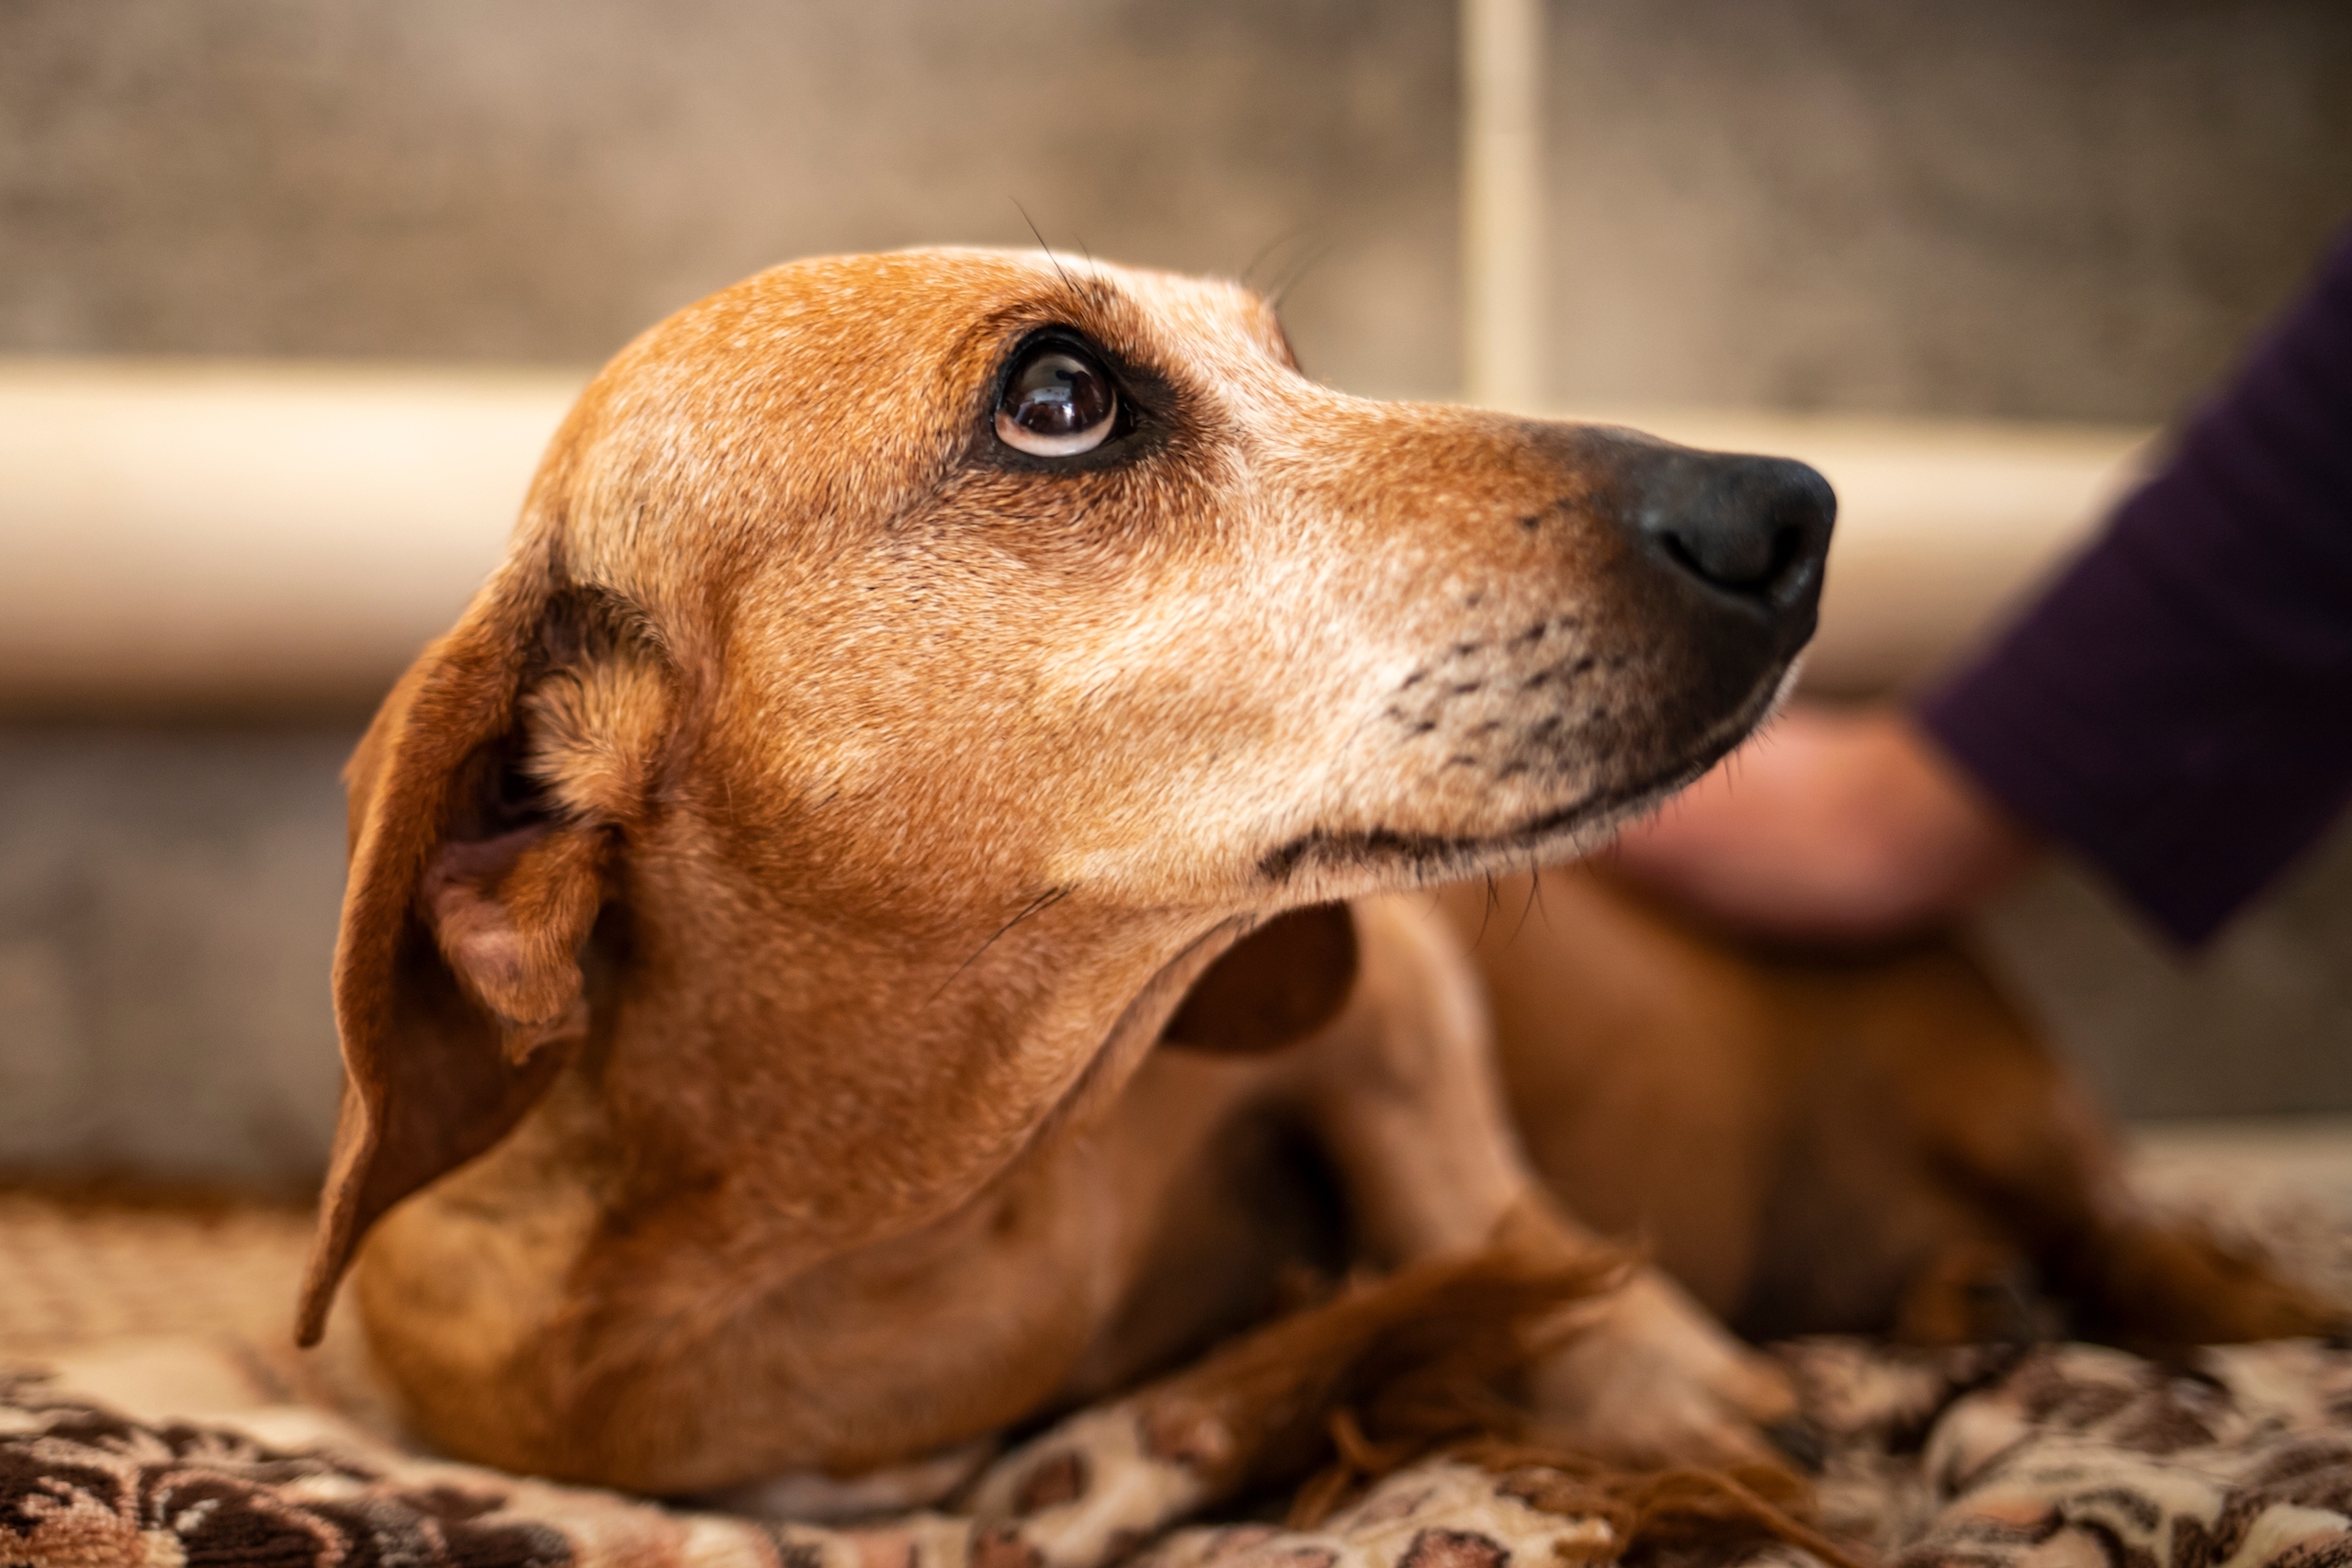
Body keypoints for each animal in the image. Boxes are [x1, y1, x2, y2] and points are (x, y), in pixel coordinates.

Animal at [299, 251, 2333, 1504]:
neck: (896, 1200)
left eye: (1286, 355)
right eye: (1058, 395)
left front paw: (1657, 1386)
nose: (1791, 511)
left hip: (2024, 1120)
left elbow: (1483, 1204)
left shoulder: (1394, 995)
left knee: (2129, 1224)